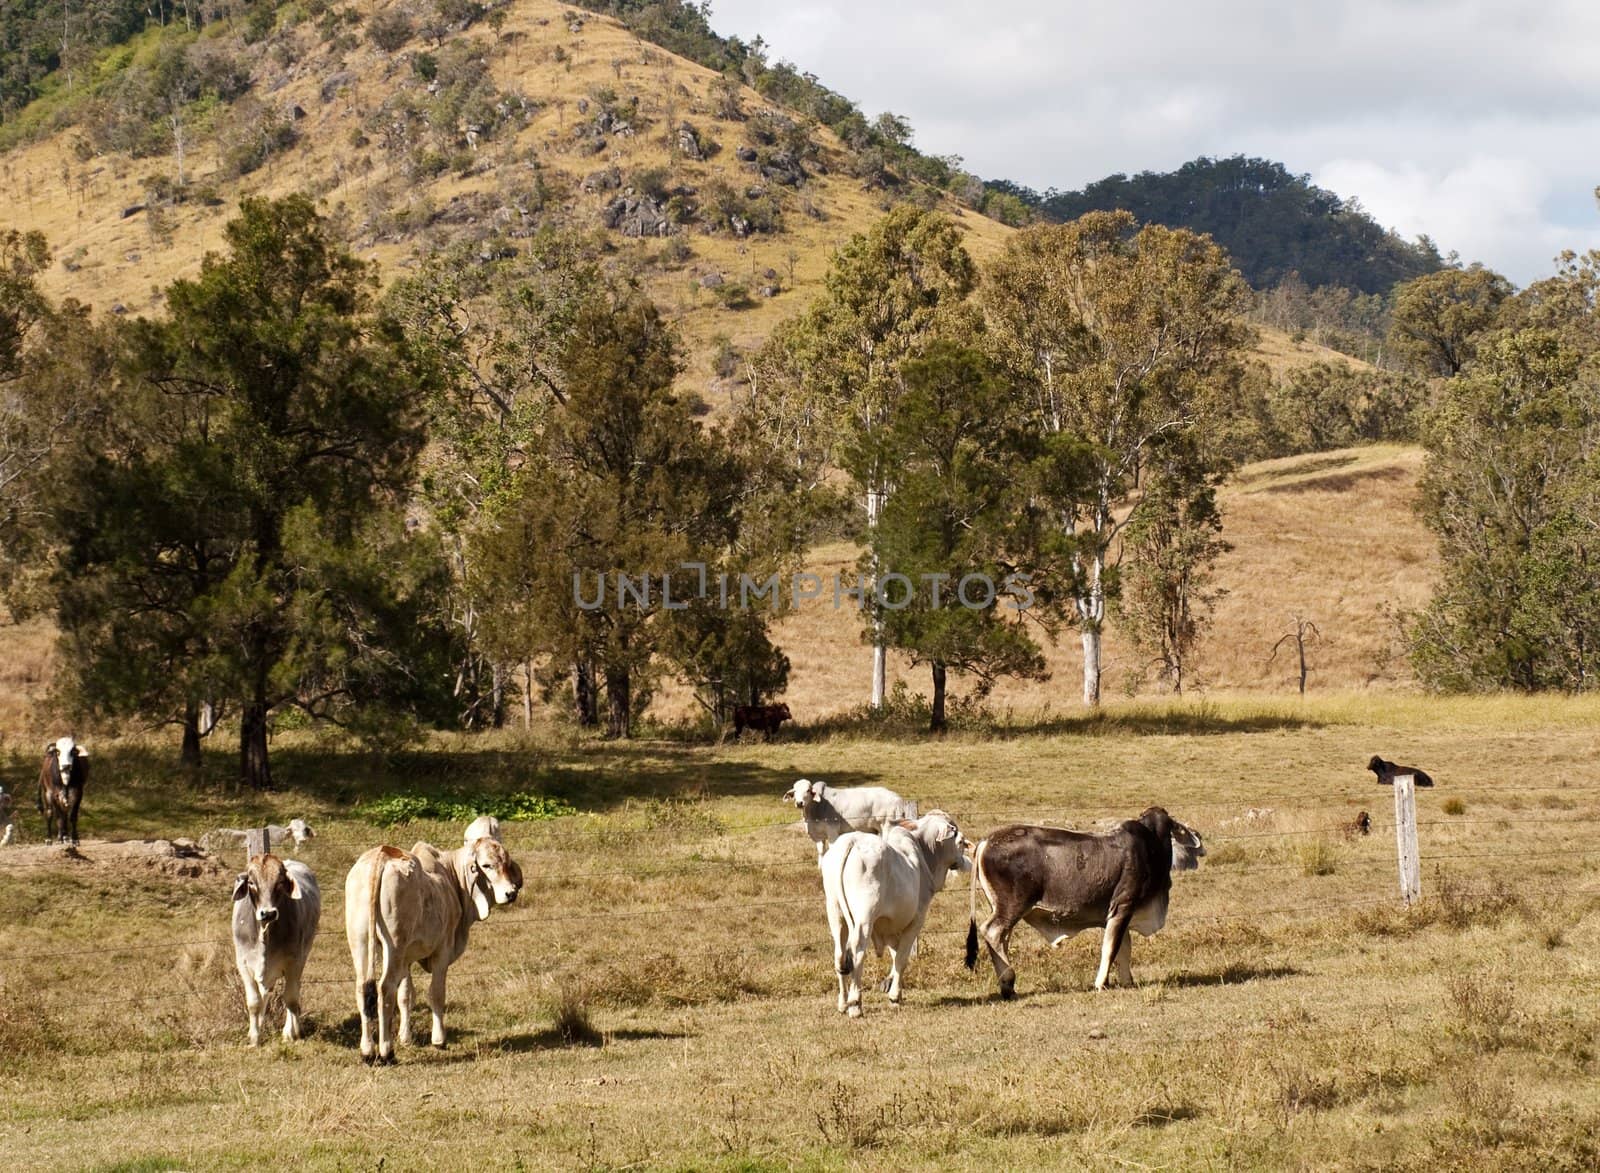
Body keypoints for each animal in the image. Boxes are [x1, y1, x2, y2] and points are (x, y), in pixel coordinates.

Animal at [345, 825, 524, 1068]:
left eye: (506, 862)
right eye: (486, 865)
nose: (510, 893)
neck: (451, 878)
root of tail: (380, 856)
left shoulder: (407, 959)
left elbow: (406, 996)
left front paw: (406, 1038)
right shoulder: (442, 951)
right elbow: (436, 994)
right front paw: (439, 1040)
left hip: (361, 942)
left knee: (363, 988)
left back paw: (366, 1051)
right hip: (394, 946)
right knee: (385, 989)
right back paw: (386, 1052)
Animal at [784, 777, 921, 857]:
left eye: (808, 790)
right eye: (795, 791)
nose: (799, 803)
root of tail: (898, 799)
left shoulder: (832, 832)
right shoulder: (818, 836)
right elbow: (821, 854)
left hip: (887, 825)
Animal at [825, 809, 972, 1011]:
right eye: (960, 841)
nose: (963, 861)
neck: (923, 852)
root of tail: (851, 841)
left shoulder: (891, 928)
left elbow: (896, 957)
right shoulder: (916, 920)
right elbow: (902, 959)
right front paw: (894, 997)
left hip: (835, 913)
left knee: (839, 954)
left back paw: (842, 1003)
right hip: (864, 919)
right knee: (857, 951)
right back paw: (855, 1004)